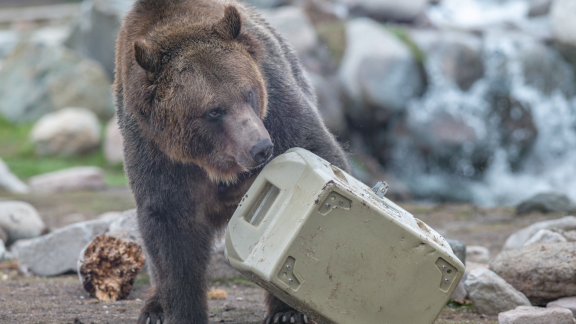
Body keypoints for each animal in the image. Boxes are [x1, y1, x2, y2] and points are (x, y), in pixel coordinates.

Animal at [112, 1, 346, 322]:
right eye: (213, 111)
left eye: (248, 92)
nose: (261, 147)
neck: (214, 160)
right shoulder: (157, 151)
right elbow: (170, 228)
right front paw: (183, 311)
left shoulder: (278, 105)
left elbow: (316, 152)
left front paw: (287, 310)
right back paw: (154, 308)